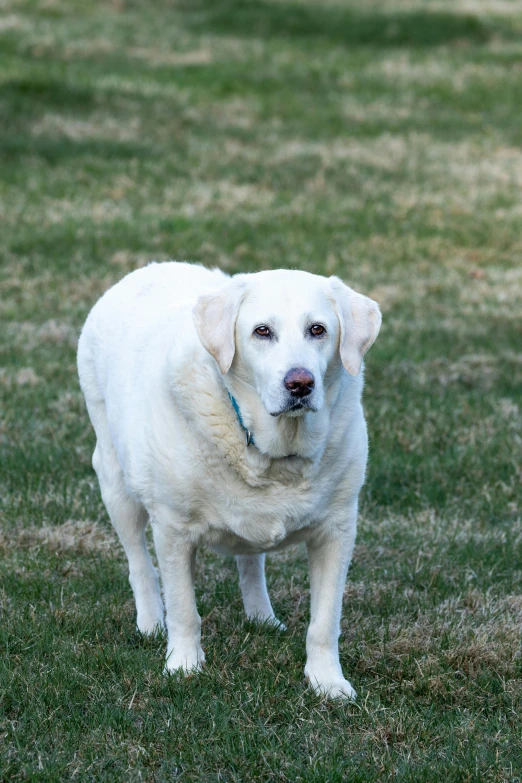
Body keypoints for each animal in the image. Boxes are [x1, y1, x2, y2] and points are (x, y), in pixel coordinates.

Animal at [76, 262, 378, 700]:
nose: (300, 383)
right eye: (262, 331)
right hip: (115, 482)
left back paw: (261, 617)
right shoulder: (173, 528)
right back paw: (150, 623)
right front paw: (183, 666)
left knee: (250, 560)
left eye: (318, 329)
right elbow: (184, 608)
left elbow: (325, 620)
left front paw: (327, 681)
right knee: (139, 563)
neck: (269, 449)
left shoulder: (337, 529)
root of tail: (147, 268)